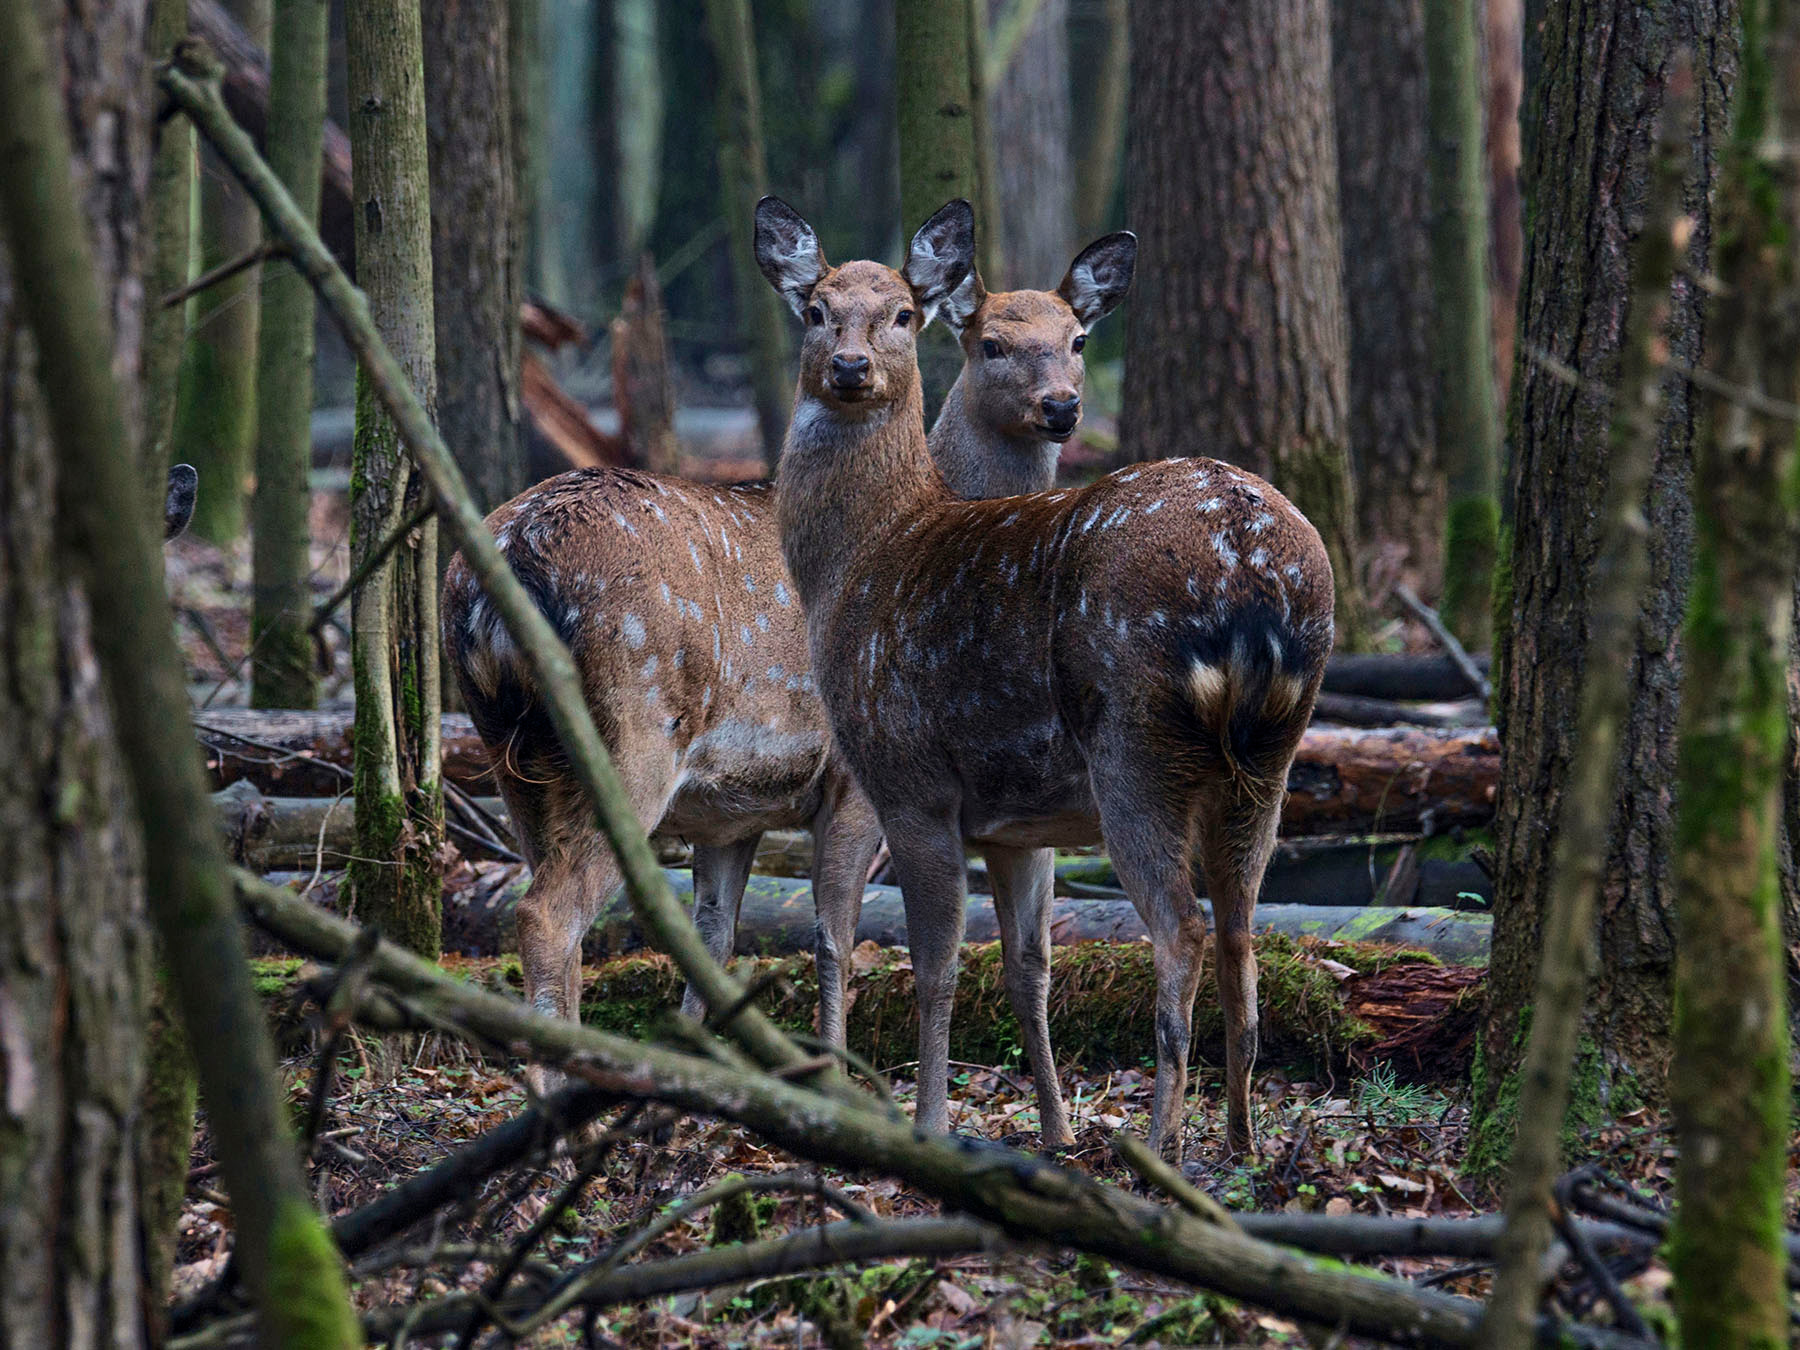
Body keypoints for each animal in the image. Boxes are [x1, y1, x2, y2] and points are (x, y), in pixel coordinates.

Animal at [440, 218, 1134, 1139]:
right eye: (989, 343)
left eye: (1078, 338)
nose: (1061, 408)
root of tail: (502, 564)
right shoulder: (851, 781)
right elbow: (833, 940)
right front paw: (832, 1086)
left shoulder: (731, 815)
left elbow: (714, 942)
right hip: (629, 731)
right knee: (549, 914)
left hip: (511, 751)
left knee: (551, 903)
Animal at [757, 196, 1335, 1159]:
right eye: (815, 309)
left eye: (904, 315)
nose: (849, 366)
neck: (858, 559)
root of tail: (1251, 567)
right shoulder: (1016, 824)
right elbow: (1027, 967)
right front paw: (1057, 1131)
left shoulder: (908, 778)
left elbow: (934, 965)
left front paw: (929, 1125)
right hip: (1273, 755)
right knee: (1240, 931)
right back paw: (1241, 1144)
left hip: (1136, 744)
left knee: (1181, 929)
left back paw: (1160, 1147)